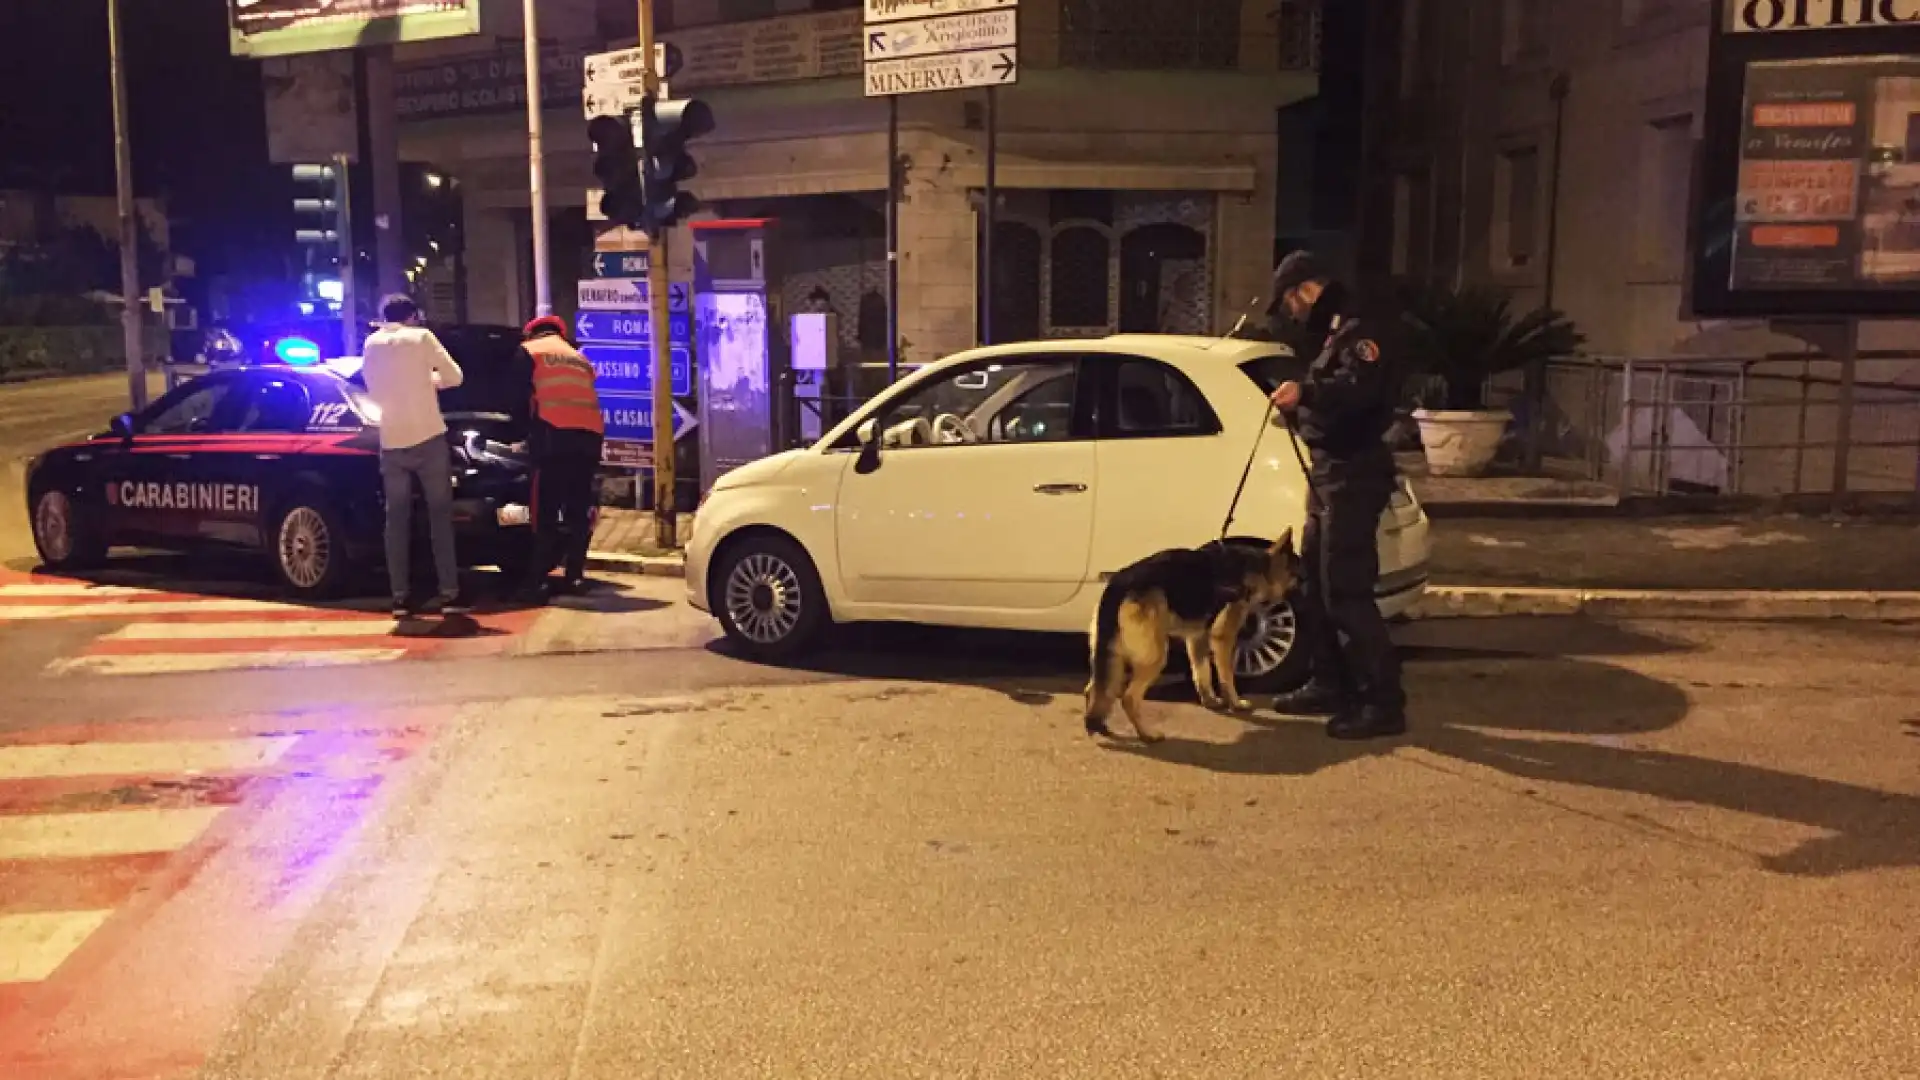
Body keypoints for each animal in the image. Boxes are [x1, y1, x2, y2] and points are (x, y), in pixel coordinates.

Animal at [1090, 530, 1297, 737]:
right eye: (1298, 571)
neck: (1259, 566)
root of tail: (1119, 582)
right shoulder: (1223, 639)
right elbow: (1226, 676)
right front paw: (1235, 703)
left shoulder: (1197, 638)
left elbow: (1202, 672)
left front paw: (1210, 701)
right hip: (1155, 656)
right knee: (1128, 698)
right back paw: (1147, 734)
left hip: (1112, 655)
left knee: (1096, 689)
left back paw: (1100, 725)